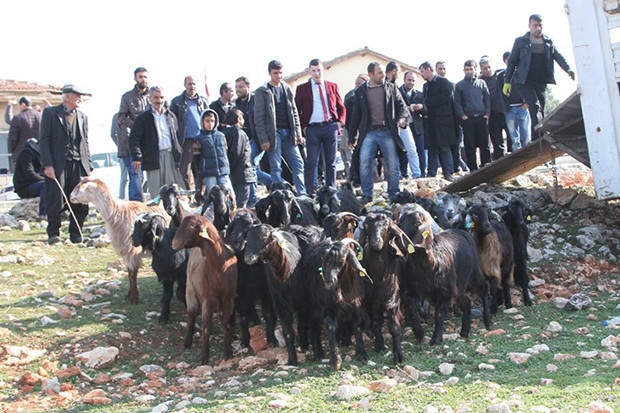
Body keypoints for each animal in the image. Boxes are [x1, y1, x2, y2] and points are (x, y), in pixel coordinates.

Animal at [171, 214, 239, 362]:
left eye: (192, 226)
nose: (173, 243)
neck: (220, 268)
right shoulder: (207, 300)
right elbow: (206, 329)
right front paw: (204, 357)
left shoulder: (229, 300)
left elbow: (227, 325)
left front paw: (228, 352)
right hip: (190, 289)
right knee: (191, 314)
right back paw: (187, 342)